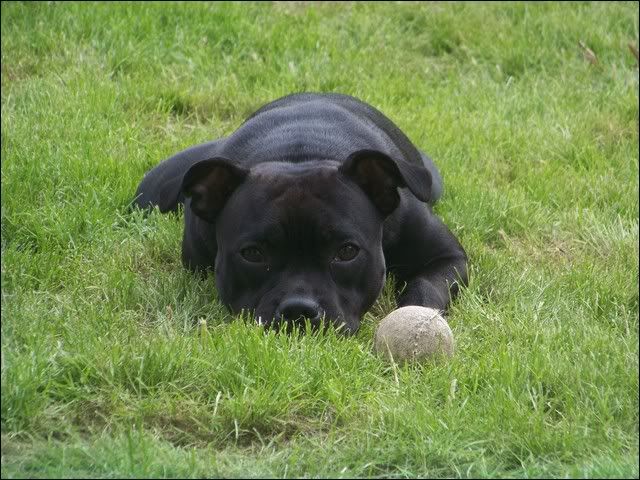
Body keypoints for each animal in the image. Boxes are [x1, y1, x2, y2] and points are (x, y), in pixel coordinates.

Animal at [134, 93, 464, 334]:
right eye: (252, 254)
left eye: (347, 252)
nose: (298, 310)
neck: (300, 156)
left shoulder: (448, 257)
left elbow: (425, 286)